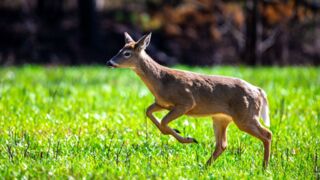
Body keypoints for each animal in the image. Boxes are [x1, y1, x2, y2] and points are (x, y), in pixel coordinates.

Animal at [106, 32, 272, 167]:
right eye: (119, 50)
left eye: (127, 53)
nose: (109, 62)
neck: (161, 81)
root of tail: (258, 90)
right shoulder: (162, 103)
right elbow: (148, 112)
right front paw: (179, 134)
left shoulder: (186, 102)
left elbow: (164, 121)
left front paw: (188, 139)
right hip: (221, 118)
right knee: (222, 144)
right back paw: (205, 167)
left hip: (245, 116)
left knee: (267, 134)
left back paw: (264, 168)